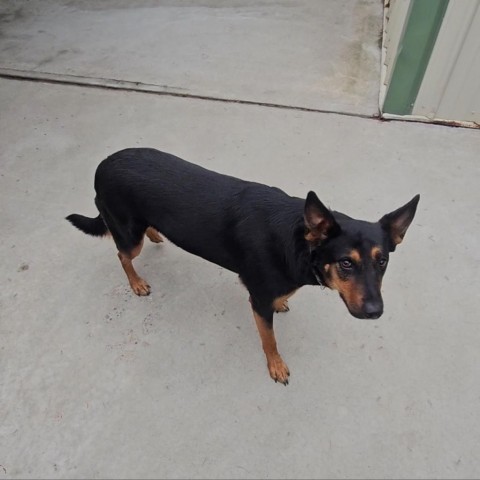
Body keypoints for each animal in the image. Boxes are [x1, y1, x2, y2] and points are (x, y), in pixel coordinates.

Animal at [67, 148, 420, 384]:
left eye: (382, 261)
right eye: (346, 263)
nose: (375, 312)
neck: (297, 241)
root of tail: (103, 164)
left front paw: (283, 303)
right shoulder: (258, 300)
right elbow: (269, 339)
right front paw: (276, 365)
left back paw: (156, 231)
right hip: (128, 236)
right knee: (122, 255)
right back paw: (136, 281)